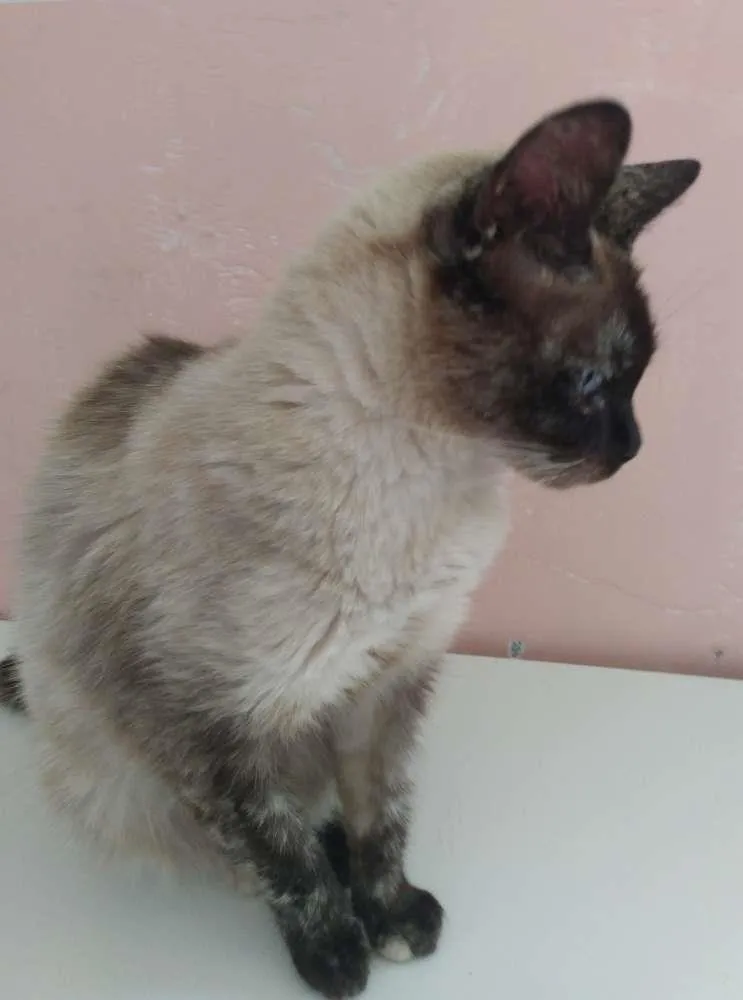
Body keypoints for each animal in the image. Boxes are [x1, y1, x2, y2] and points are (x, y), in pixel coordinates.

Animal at [0, 99, 699, 998]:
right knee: (229, 836)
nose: (632, 450)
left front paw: (391, 913)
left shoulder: (388, 681)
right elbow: (283, 860)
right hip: (122, 772)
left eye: (636, 380)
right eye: (590, 383)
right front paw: (335, 956)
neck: (430, 479)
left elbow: (381, 816)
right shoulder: (215, 730)